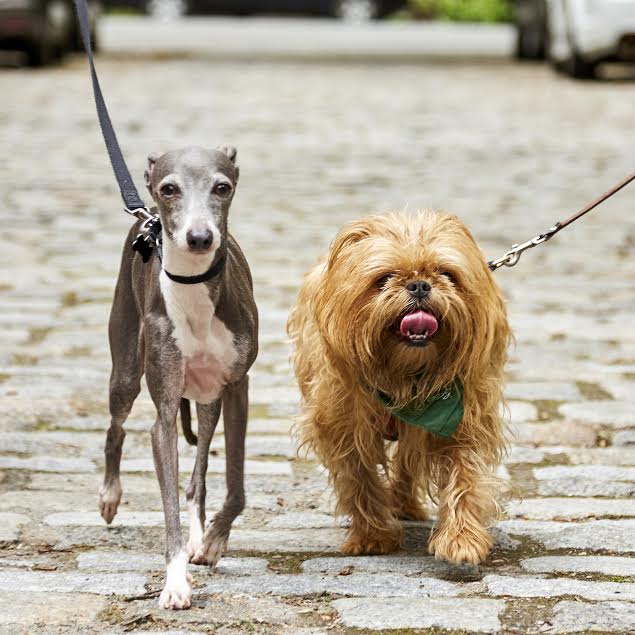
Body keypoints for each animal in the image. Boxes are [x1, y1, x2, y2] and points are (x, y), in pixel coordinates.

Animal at [288, 211, 512, 564]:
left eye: (446, 274)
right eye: (385, 278)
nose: (419, 285)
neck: (404, 377)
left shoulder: (463, 421)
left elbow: (464, 475)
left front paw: (461, 538)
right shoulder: (344, 428)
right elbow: (360, 479)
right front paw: (372, 536)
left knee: (408, 464)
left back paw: (405, 505)